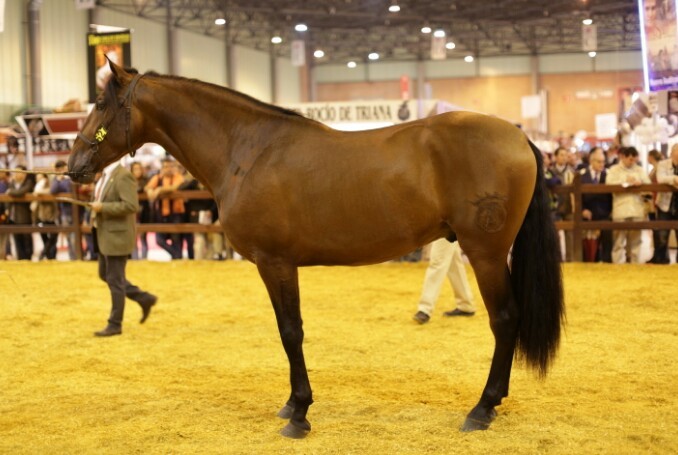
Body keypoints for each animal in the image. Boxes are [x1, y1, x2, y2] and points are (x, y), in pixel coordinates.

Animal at [68, 61, 564, 439]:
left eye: (100, 104)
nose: (73, 166)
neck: (248, 149)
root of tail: (518, 138)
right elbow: (287, 332)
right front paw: (292, 405)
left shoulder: (276, 263)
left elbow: (291, 332)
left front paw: (300, 414)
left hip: (486, 253)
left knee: (505, 320)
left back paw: (482, 408)